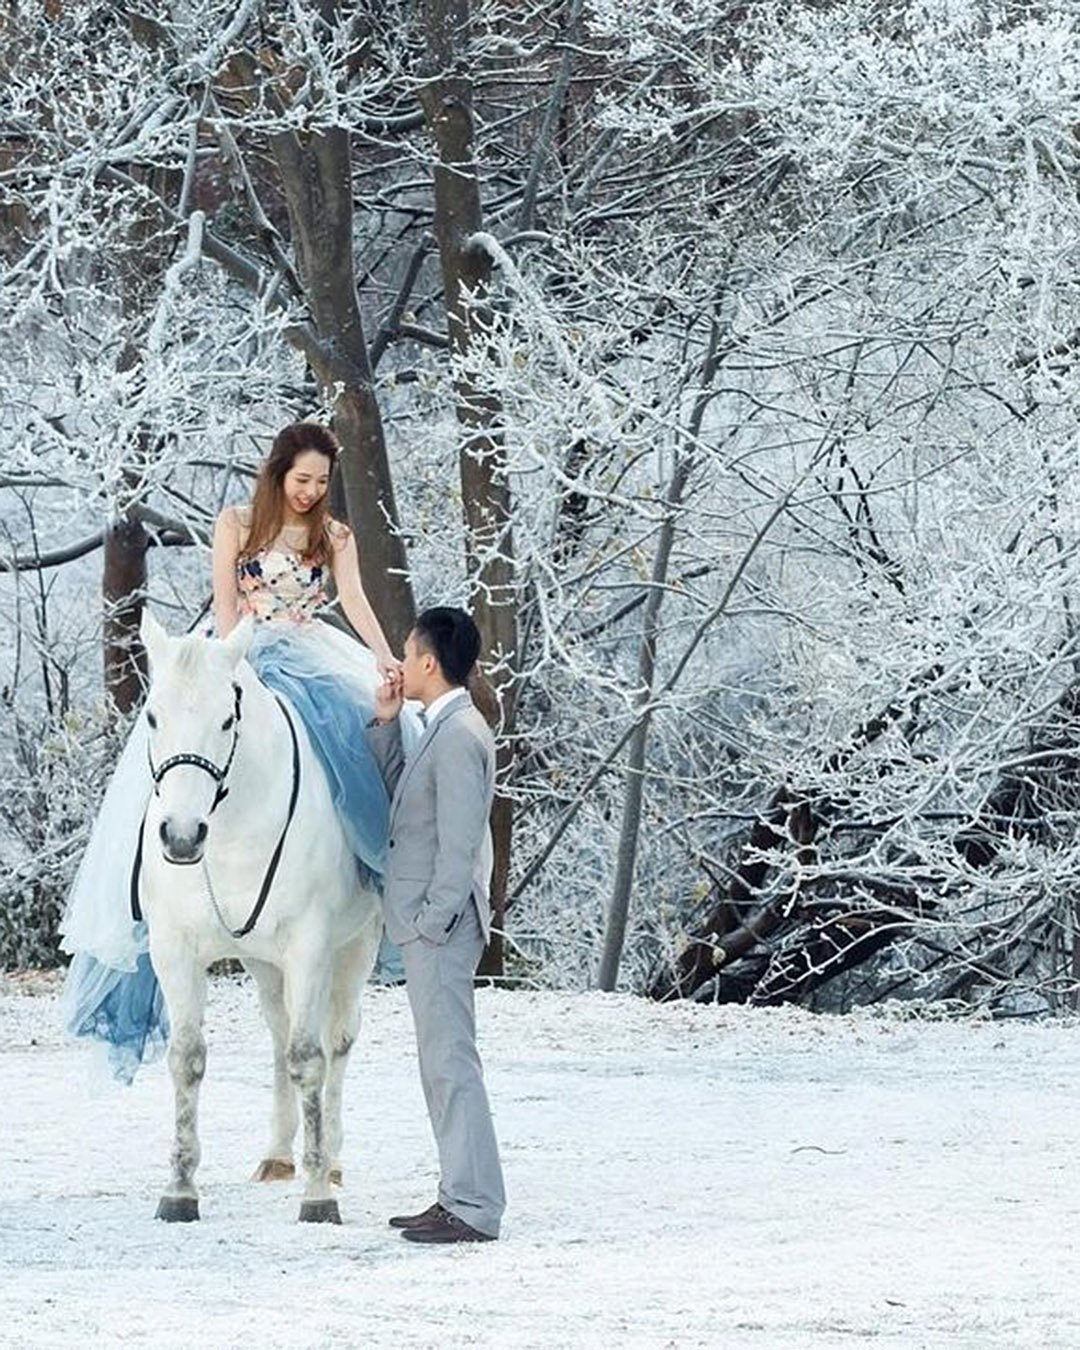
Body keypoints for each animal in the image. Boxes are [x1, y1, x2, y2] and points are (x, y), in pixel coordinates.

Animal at [137, 612, 383, 1225]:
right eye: (152, 715)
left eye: (227, 719)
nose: (181, 835)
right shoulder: (174, 950)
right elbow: (187, 1059)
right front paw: (180, 1189)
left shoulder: (310, 947)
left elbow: (310, 1059)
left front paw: (317, 1194)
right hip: (263, 963)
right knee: (277, 1036)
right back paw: (277, 1155)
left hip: (355, 946)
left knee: (336, 1041)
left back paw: (331, 1161)